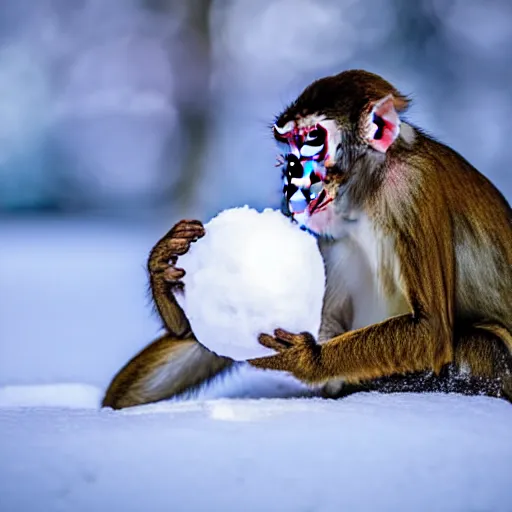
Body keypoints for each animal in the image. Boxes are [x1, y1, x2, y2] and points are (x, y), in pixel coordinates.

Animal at [103, 70, 512, 410]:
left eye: (312, 140)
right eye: (288, 144)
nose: (289, 173)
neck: (369, 189)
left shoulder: (410, 187)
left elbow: (431, 330)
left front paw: (307, 359)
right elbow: (202, 339)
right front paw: (162, 269)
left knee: (484, 346)